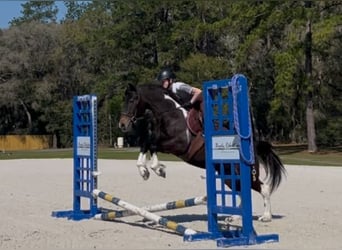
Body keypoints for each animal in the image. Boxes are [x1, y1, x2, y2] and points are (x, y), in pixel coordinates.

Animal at [119, 82, 288, 223]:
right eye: (124, 100)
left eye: (133, 100)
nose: (122, 124)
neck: (171, 114)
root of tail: (252, 147)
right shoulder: (159, 139)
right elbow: (146, 143)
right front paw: (144, 171)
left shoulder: (177, 144)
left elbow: (152, 144)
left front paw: (158, 169)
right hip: (227, 175)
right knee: (241, 191)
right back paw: (235, 217)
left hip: (241, 172)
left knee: (263, 188)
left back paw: (266, 216)